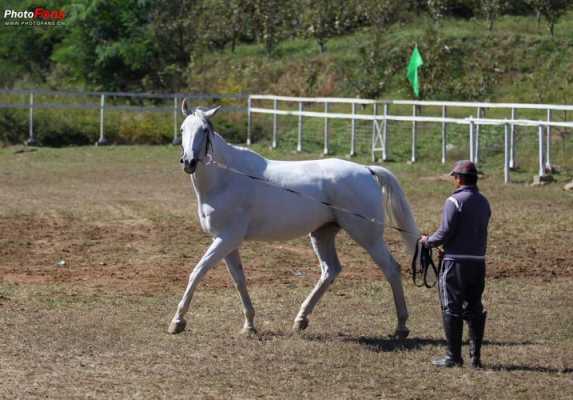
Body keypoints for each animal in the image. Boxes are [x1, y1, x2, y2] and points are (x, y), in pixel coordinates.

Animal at [169, 101, 420, 338]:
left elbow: (197, 272)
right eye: (182, 129)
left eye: (204, 130)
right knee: (330, 271)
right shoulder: (227, 242)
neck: (226, 178)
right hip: (322, 234)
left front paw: (177, 322)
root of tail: (367, 170)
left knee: (391, 269)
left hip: (368, 237)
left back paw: (401, 326)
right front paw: (249, 325)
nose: (188, 162)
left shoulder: (226, 238)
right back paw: (301, 320)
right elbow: (239, 280)